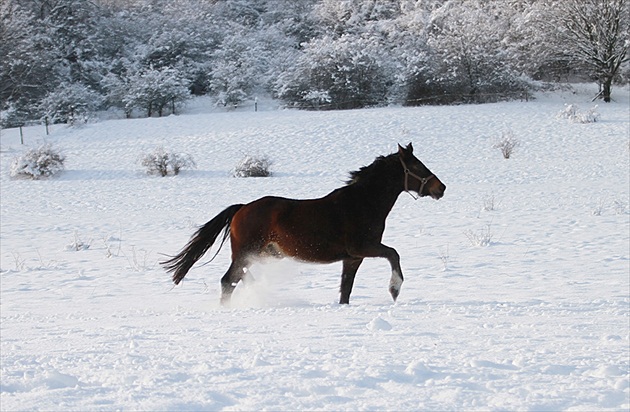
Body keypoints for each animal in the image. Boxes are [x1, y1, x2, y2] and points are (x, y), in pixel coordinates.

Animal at [163, 143, 450, 304]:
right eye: (417, 166)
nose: (441, 188)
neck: (362, 203)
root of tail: (241, 209)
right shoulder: (363, 247)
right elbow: (394, 253)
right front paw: (394, 289)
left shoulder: (353, 258)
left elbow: (346, 290)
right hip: (246, 253)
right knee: (228, 281)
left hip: (256, 255)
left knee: (239, 278)